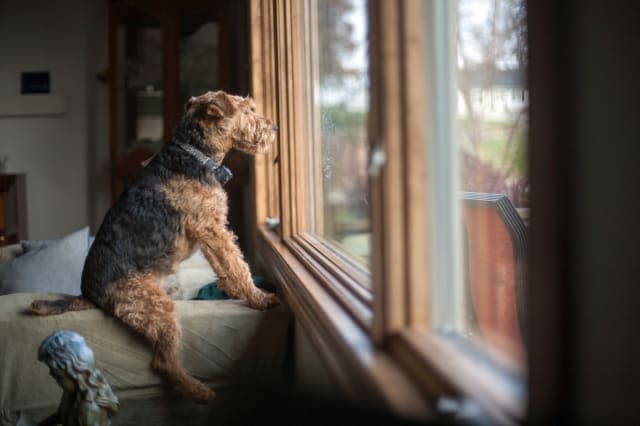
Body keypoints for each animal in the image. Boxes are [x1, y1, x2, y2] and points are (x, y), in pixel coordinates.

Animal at [29, 90, 280, 402]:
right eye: (248, 110)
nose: (275, 128)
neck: (195, 154)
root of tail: (89, 293)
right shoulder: (212, 229)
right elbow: (237, 265)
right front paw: (260, 298)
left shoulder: (209, 231)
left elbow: (225, 267)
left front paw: (237, 293)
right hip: (156, 308)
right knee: (163, 362)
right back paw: (199, 391)